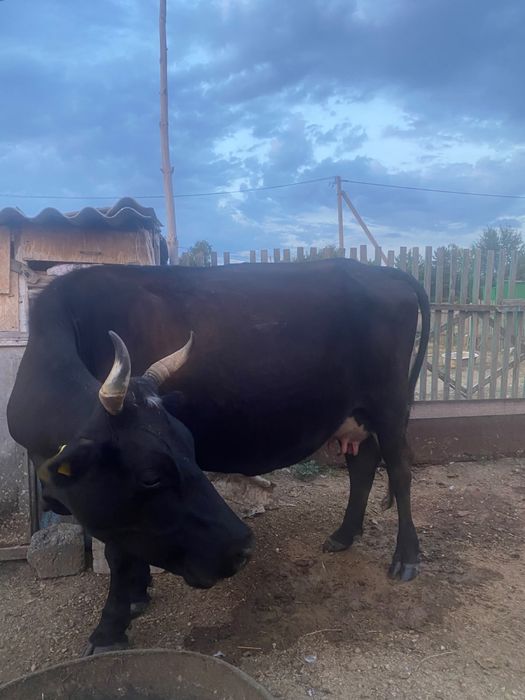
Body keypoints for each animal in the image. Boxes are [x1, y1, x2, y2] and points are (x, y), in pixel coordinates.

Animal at [7, 257, 430, 654]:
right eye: (152, 476)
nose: (241, 549)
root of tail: (379, 270)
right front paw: (138, 595)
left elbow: (119, 555)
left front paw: (110, 629)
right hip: (357, 415)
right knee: (363, 466)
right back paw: (344, 535)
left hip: (391, 405)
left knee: (400, 470)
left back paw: (406, 557)